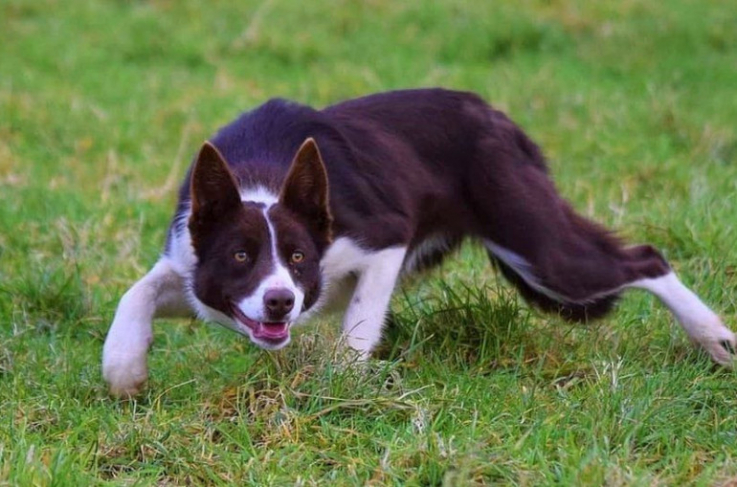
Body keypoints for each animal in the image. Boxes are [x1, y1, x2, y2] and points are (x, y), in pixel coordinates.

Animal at [100, 89, 732, 398]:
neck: (262, 175)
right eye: (240, 256)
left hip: (542, 252)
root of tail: (495, 116)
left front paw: (340, 389)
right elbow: (138, 292)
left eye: (299, 258)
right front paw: (124, 369)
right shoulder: (197, 274)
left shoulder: (383, 241)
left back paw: (715, 339)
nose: (282, 302)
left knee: (644, 258)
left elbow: (357, 326)